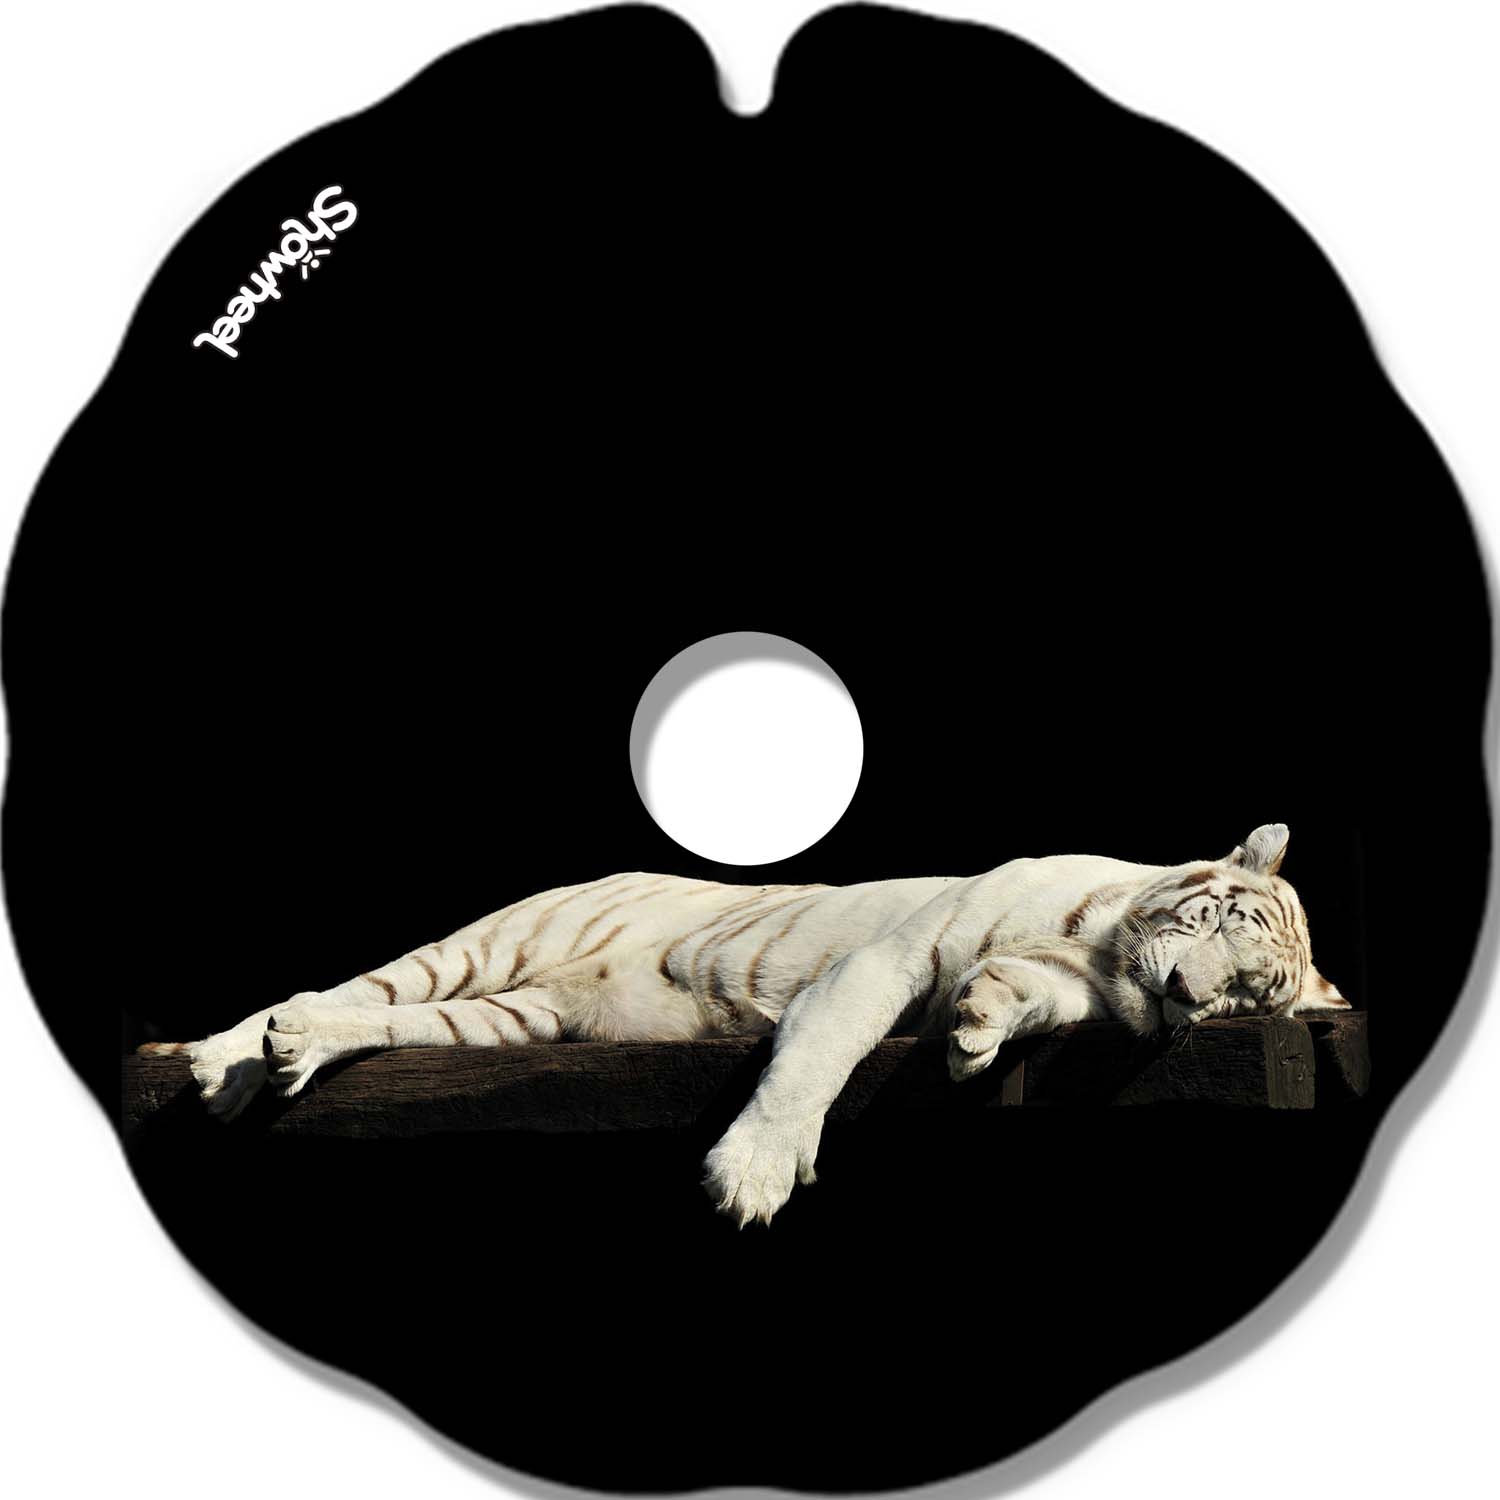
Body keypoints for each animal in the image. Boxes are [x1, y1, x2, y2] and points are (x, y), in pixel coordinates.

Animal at [139, 822, 1349, 1225]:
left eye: (1249, 996)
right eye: (1222, 923)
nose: (1189, 995)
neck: (1100, 951)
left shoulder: (1084, 988)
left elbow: (1019, 993)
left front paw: (976, 1028)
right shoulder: (884, 959)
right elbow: (816, 1060)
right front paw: (755, 1175)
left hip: (510, 1018)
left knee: (389, 1025)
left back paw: (294, 1053)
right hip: (487, 946)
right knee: (354, 988)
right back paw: (223, 1060)